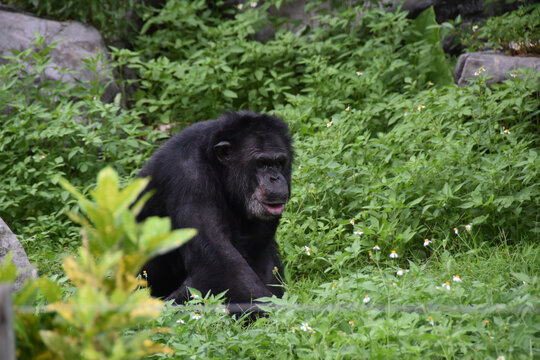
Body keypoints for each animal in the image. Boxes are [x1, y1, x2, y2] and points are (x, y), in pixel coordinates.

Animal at [137, 110, 294, 306]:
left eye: (279, 162)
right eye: (261, 163)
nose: (275, 178)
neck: (218, 168)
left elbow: (258, 252)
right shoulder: (190, 178)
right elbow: (219, 261)